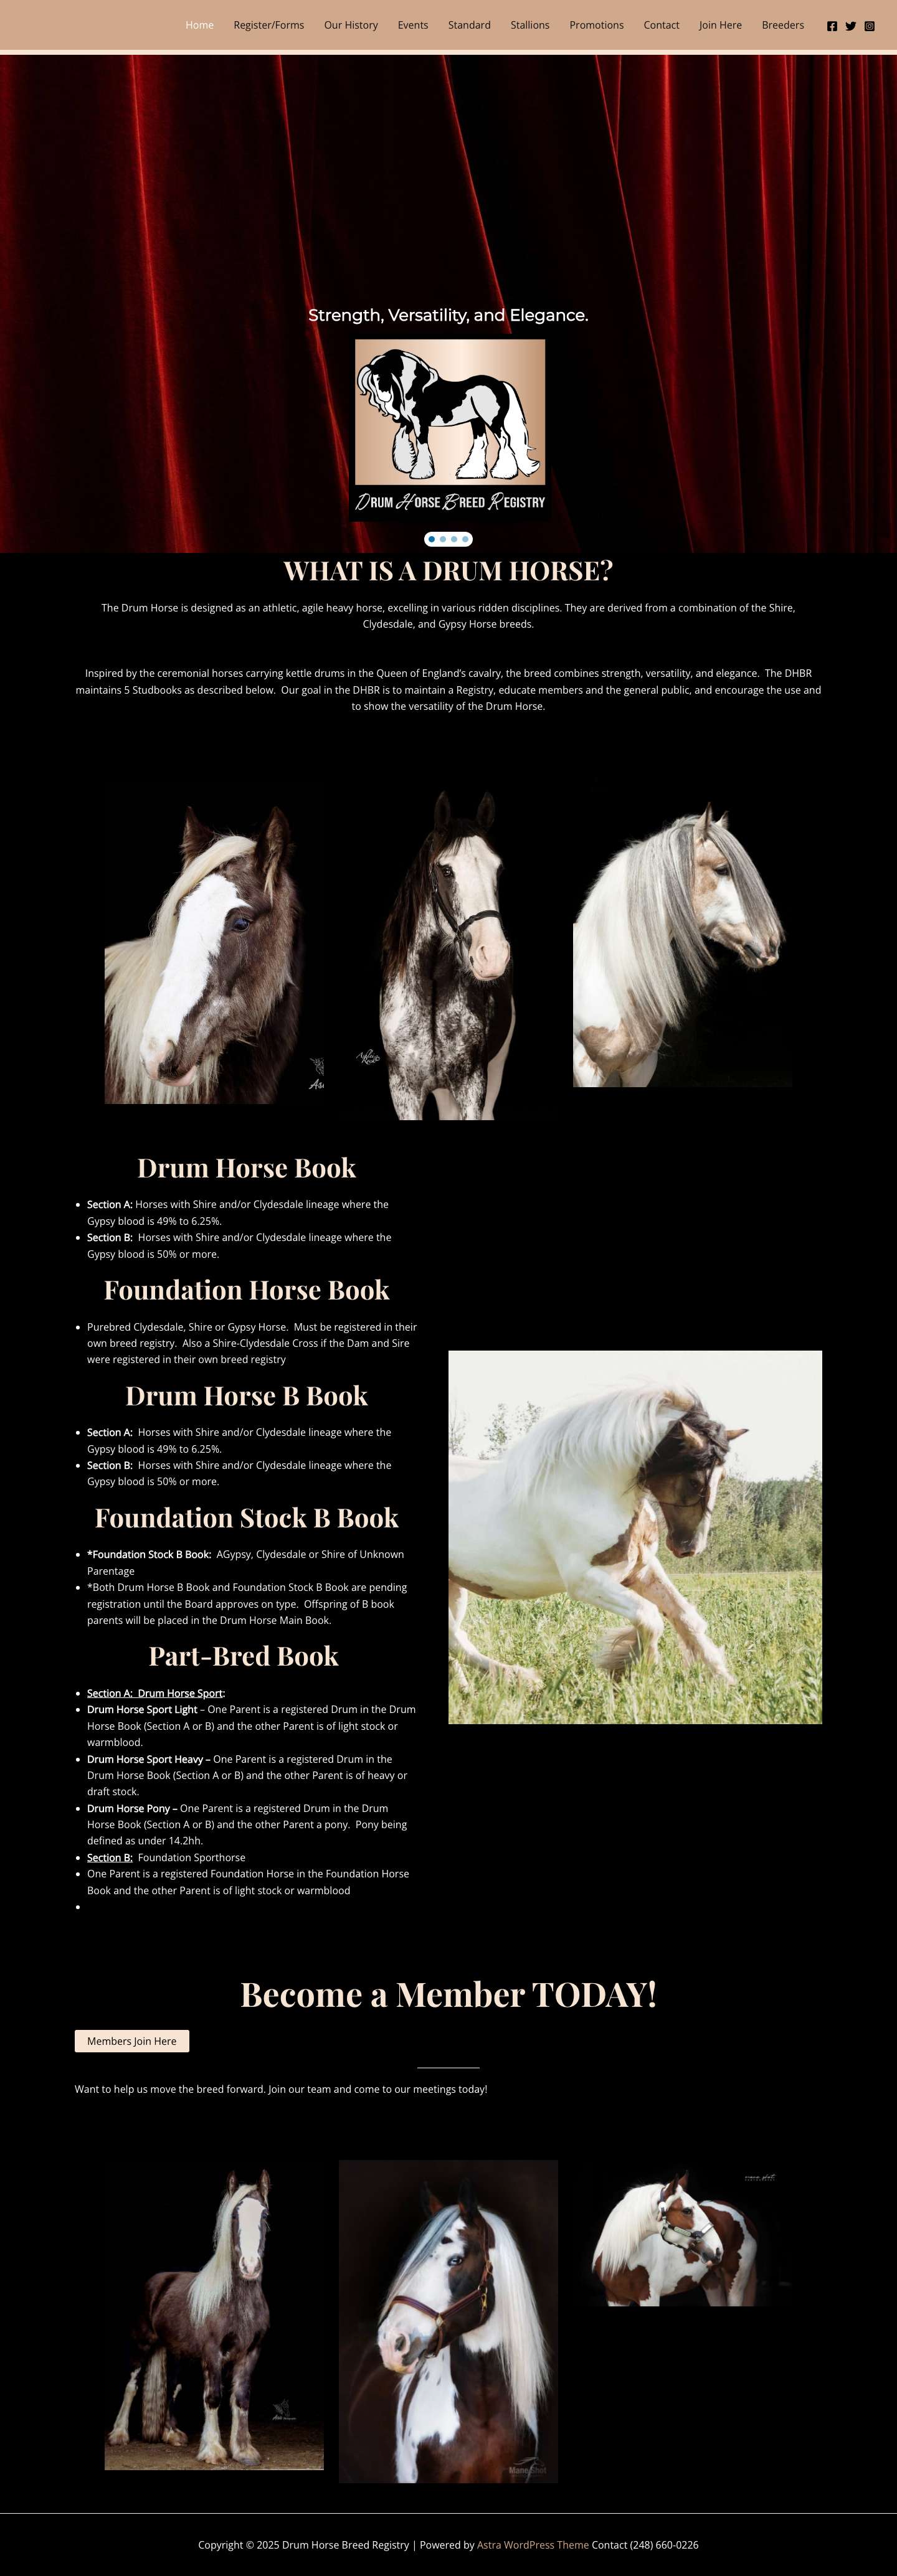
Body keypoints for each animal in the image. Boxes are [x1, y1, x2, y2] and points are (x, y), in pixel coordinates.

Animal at [107, 2171, 271, 2466]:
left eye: (264, 2215)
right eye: (234, 2216)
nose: (250, 2266)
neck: (235, 2302)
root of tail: (157, 2282)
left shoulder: (251, 2353)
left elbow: (241, 2398)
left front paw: (244, 2451)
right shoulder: (212, 2354)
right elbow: (213, 2397)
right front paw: (213, 2450)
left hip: (178, 2353)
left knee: (173, 2386)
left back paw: (172, 2434)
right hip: (142, 2345)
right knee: (131, 2386)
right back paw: (119, 2434)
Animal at [448, 1382, 748, 1696]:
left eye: (722, 1477)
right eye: (695, 1481)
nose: (690, 1547)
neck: (591, 1487)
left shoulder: (641, 1571)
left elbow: (685, 1616)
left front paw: (724, 1680)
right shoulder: (586, 1582)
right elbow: (649, 1618)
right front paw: (632, 1674)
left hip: (456, 1587)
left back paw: (468, 1689)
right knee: (456, 1640)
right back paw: (520, 1678)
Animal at [594, 2171, 758, 2308]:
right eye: (687, 2210)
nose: (718, 2250)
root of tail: (741, 2214)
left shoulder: (649, 2298)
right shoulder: (615, 2299)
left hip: (735, 2282)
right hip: (712, 2283)